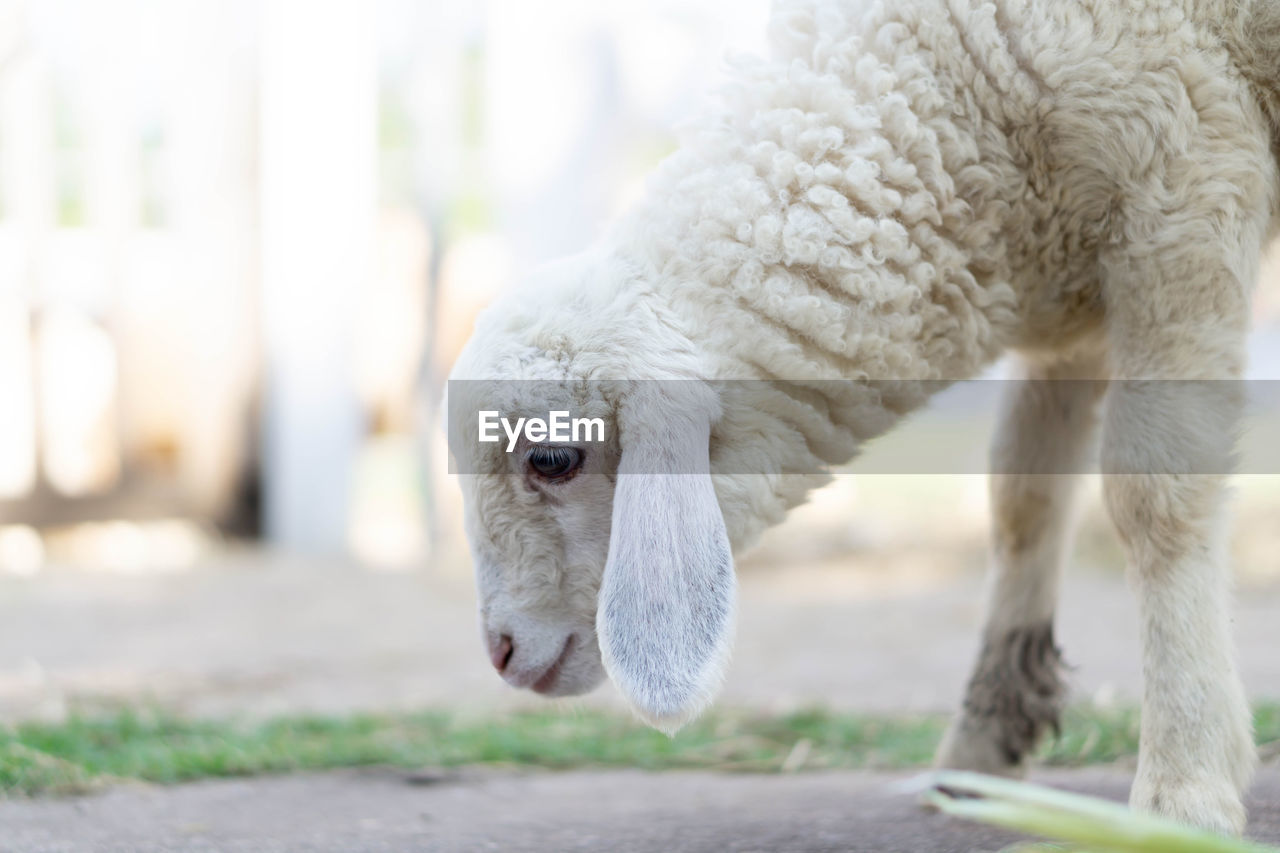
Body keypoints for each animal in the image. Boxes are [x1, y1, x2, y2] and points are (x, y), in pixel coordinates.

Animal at [445, 0, 1280, 835]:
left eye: (552, 458)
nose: (500, 652)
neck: (956, 80)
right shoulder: (1073, 290)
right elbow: (1023, 500)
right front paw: (979, 751)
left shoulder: (1185, 189)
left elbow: (1154, 497)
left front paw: (1183, 787)